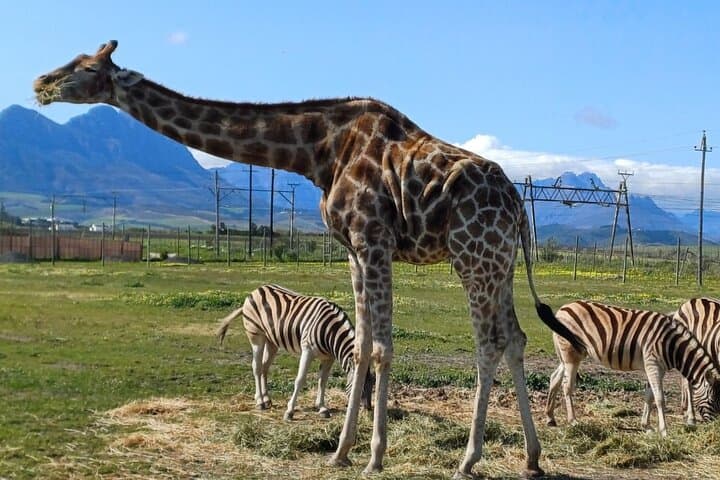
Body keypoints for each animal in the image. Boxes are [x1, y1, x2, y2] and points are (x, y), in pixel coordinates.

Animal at [33, 40, 583, 479]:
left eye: (86, 67)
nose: (40, 82)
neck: (317, 151)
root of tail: (518, 206)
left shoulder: (372, 238)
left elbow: (380, 347)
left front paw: (374, 456)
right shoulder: (353, 251)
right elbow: (361, 346)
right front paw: (341, 450)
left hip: (473, 257)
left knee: (489, 343)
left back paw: (469, 459)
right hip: (500, 263)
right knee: (515, 337)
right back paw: (532, 457)